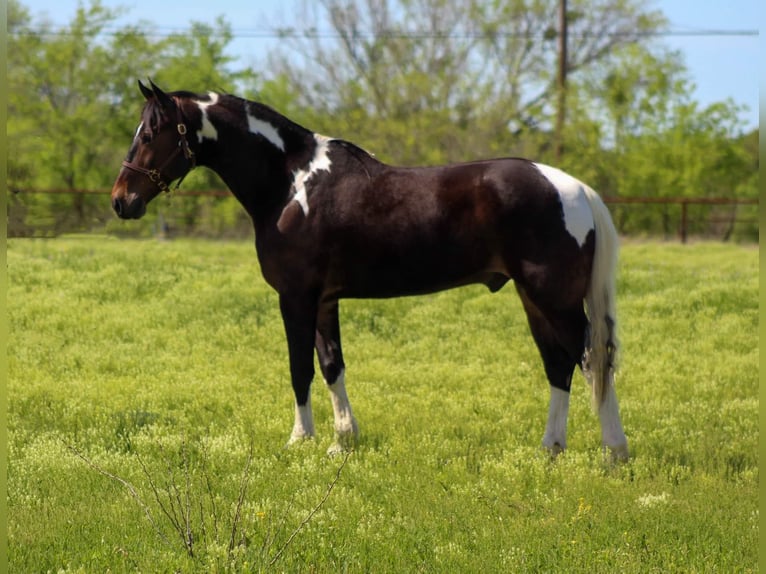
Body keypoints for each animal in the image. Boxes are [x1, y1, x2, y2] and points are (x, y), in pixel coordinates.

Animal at [112, 81, 632, 462]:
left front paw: (299, 440)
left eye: (150, 133)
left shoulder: (295, 296)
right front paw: (343, 441)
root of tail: (574, 188)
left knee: (591, 358)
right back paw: (551, 448)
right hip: (534, 300)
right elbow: (331, 365)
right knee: (559, 364)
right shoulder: (324, 299)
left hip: (555, 299)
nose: (122, 200)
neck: (290, 183)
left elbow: (299, 367)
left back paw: (614, 451)